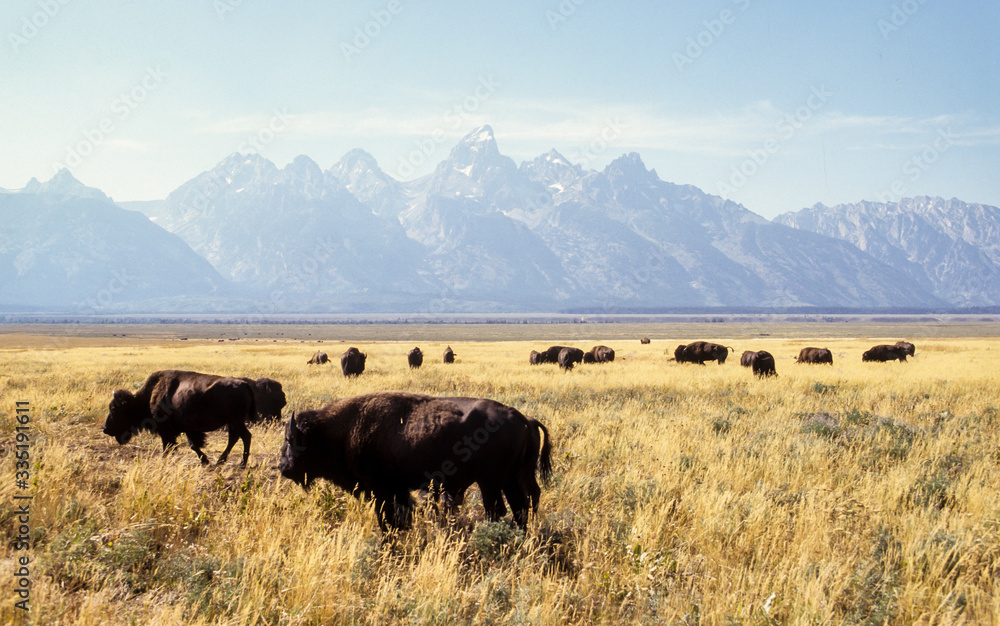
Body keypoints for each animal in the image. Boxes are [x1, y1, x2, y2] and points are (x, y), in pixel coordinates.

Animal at [101, 368, 254, 466]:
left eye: (114, 409)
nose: (105, 429)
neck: (148, 396)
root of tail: (244, 384)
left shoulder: (166, 430)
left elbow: (169, 446)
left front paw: (164, 459)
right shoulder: (188, 429)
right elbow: (193, 445)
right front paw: (204, 460)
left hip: (236, 421)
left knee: (245, 436)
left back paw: (242, 463)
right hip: (232, 423)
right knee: (234, 438)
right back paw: (221, 461)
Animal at [278, 392, 552, 528]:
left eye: (291, 440)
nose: (282, 467)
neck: (344, 428)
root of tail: (521, 417)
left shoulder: (381, 490)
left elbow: (388, 519)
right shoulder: (397, 490)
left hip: (491, 481)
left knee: (499, 509)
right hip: (510, 478)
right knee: (520, 507)